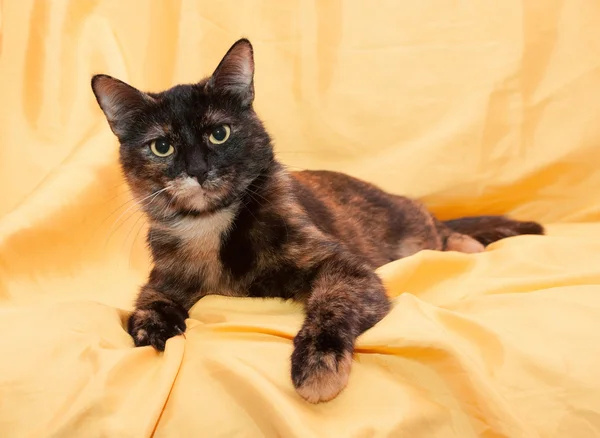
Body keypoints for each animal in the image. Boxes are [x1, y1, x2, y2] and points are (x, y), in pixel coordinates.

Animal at [90, 38, 544, 404]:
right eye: (161, 146)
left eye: (219, 134)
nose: (197, 170)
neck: (210, 228)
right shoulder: (163, 277)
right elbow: (145, 305)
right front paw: (154, 328)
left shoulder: (344, 268)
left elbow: (331, 306)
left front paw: (317, 368)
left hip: (415, 230)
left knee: (446, 232)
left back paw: (469, 244)